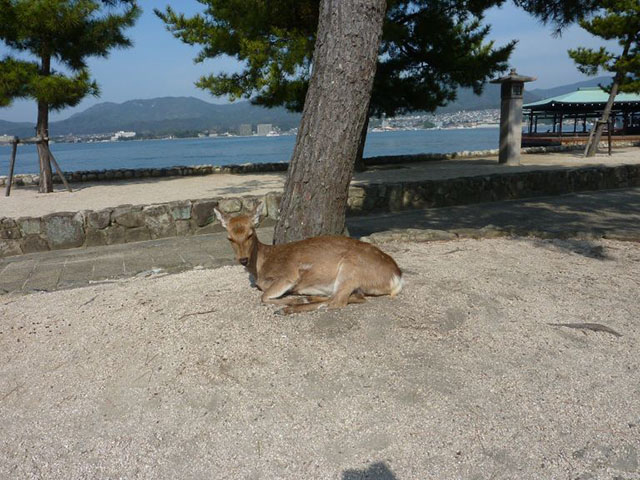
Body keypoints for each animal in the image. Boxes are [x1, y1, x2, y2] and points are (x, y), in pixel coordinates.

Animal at [214, 202, 403, 314]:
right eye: (229, 238)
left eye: (250, 234)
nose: (243, 260)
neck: (261, 266)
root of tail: (397, 278)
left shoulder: (288, 275)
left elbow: (264, 296)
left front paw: (288, 300)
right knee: (354, 297)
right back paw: (305, 298)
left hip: (351, 269)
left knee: (337, 301)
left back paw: (289, 307)